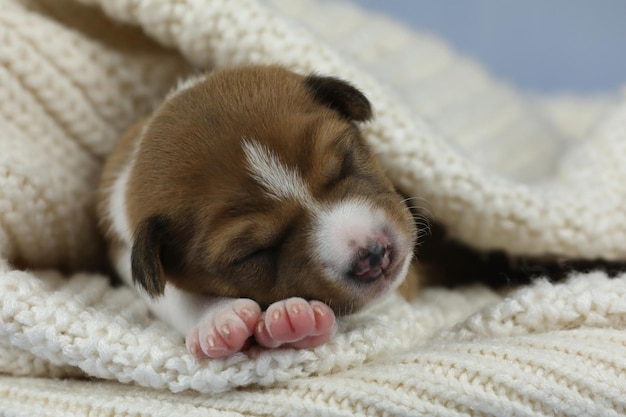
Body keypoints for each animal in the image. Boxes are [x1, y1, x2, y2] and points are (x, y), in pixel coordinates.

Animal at [97, 66, 416, 358]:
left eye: (345, 163)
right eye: (254, 252)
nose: (373, 254)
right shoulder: (121, 248)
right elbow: (170, 295)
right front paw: (219, 317)